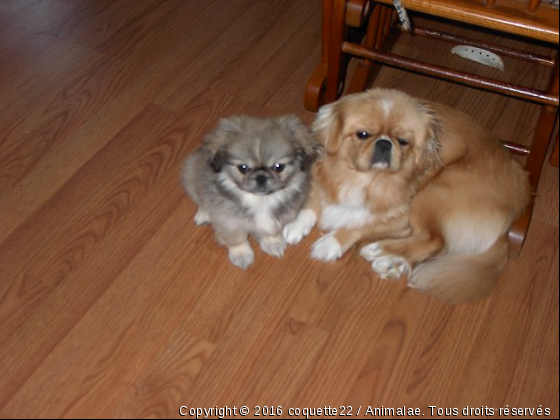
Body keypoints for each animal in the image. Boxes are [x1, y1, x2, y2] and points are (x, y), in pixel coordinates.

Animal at [179, 115, 320, 268]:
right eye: (243, 168)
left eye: (278, 167)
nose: (261, 177)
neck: (261, 200)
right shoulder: (230, 222)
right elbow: (237, 240)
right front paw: (241, 256)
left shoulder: (282, 216)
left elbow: (272, 231)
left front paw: (273, 244)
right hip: (190, 174)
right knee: (201, 197)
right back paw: (204, 214)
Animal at [284, 89, 528, 306]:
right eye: (363, 134)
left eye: (403, 141)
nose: (385, 143)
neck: (365, 179)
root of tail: (507, 227)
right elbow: (312, 205)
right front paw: (296, 226)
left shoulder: (399, 220)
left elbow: (357, 227)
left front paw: (330, 243)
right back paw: (392, 264)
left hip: (433, 193)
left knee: (434, 241)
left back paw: (379, 249)